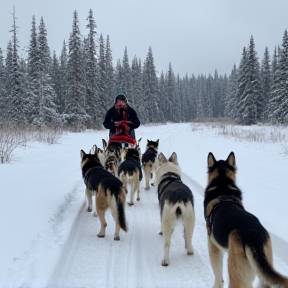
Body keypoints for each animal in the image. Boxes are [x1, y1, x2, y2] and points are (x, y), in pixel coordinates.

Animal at [204, 152, 288, 286]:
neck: (222, 183)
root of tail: (253, 236)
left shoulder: (213, 247)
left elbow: (217, 275)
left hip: (236, 273)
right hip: (263, 274)